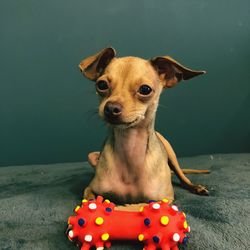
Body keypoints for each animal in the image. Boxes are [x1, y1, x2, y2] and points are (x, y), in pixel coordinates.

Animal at [79, 47, 208, 205]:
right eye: (101, 85)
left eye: (145, 89)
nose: (111, 108)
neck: (129, 149)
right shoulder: (90, 188)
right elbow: (90, 198)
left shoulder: (164, 199)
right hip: (92, 156)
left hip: (171, 155)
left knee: (182, 177)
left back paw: (196, 187)